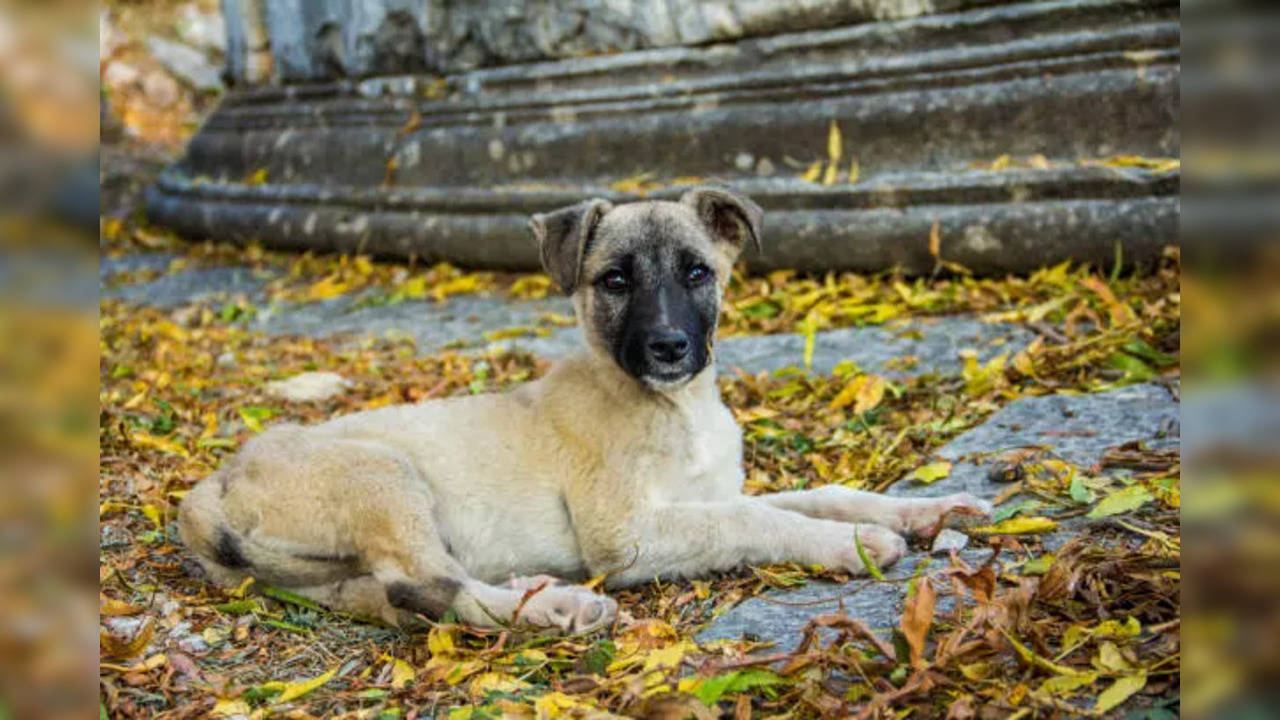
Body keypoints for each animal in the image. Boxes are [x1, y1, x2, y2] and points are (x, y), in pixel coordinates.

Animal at [177, 188, 988, 630]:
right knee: (425, 582)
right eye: (615, 280)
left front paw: (924, 510)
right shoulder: (625, 537)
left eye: (698, 272)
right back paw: (556, 610)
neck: (673, 409)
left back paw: (533, 595)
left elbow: (817, 493)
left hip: (337, 574)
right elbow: (752, 521)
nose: (668, 347)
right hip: (383, 474)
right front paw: (852, 544)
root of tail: (211, 487)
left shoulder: (702, 494)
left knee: (410, 596)